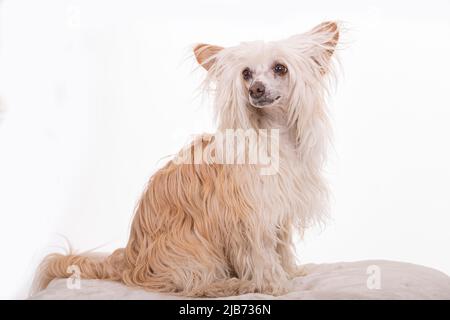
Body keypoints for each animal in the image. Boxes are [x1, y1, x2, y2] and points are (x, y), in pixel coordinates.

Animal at [35, 21, 340, 298]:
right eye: (246, 73)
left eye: (280, 68)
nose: (255, 89)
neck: (272, 135)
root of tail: (129, 258)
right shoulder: (250, 218)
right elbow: (262, 253)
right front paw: (274, 285)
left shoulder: (279, 212)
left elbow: (281, 247)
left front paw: (288, 272)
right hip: (193, 250)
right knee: (192, 285)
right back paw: (230, 285)